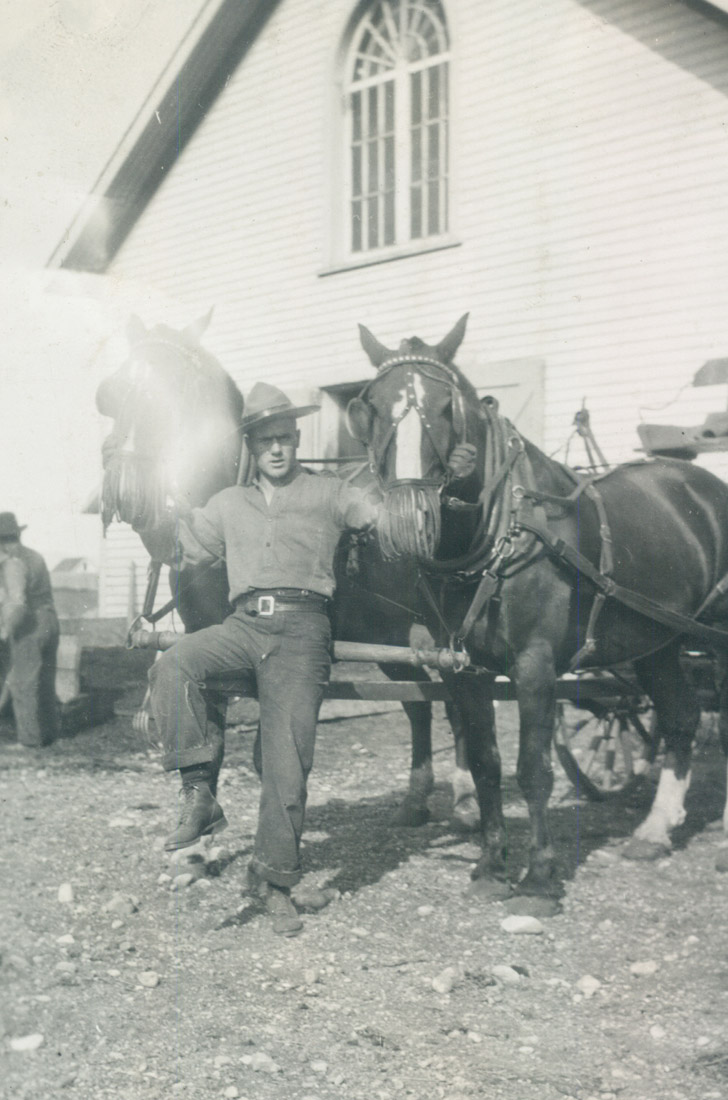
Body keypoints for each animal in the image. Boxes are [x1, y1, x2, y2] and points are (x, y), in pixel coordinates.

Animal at [95, 314, 479, 827]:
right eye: (110, 394)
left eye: (172, 393)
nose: (127, 491)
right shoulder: (204, 640)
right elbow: (214, 737)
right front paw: (201, 823)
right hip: (391, 634)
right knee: (419, 706)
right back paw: (416, 799)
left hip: (440, 633)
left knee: (459, 702)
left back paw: (466, 796)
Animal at [347, 314, 728, 897]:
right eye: (370, 405)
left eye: (447, 405)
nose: (407, 517)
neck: (500, 533)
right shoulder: (464, 670)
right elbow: (486, 763)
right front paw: (491, 864)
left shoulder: (535, 665)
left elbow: (533, 769)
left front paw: (542, 874)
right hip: (655, 639)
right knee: (681, 715)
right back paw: (655, 830)